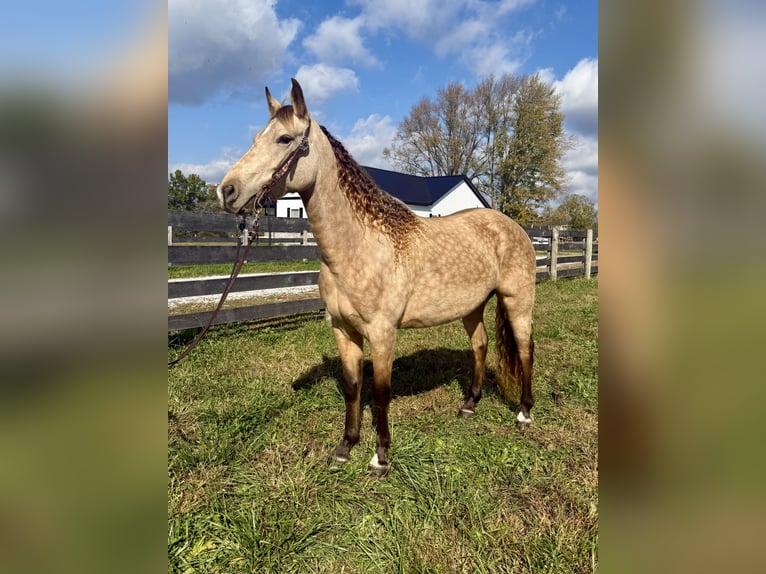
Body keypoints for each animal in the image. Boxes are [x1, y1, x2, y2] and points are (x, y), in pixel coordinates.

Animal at [217, 79, 536, 475]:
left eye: (284, 139)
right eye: (255, 137)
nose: (226, 191)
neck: (359, 247)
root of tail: (513, 226)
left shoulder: (383, 334)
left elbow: (382, 392)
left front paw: (380, 457)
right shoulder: (344, 331)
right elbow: (354, 386)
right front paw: (344, 448)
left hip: (517, 301)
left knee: (525, 350)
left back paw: (524, 413)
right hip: (471, 307)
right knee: (480, 345)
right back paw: (469, 405)